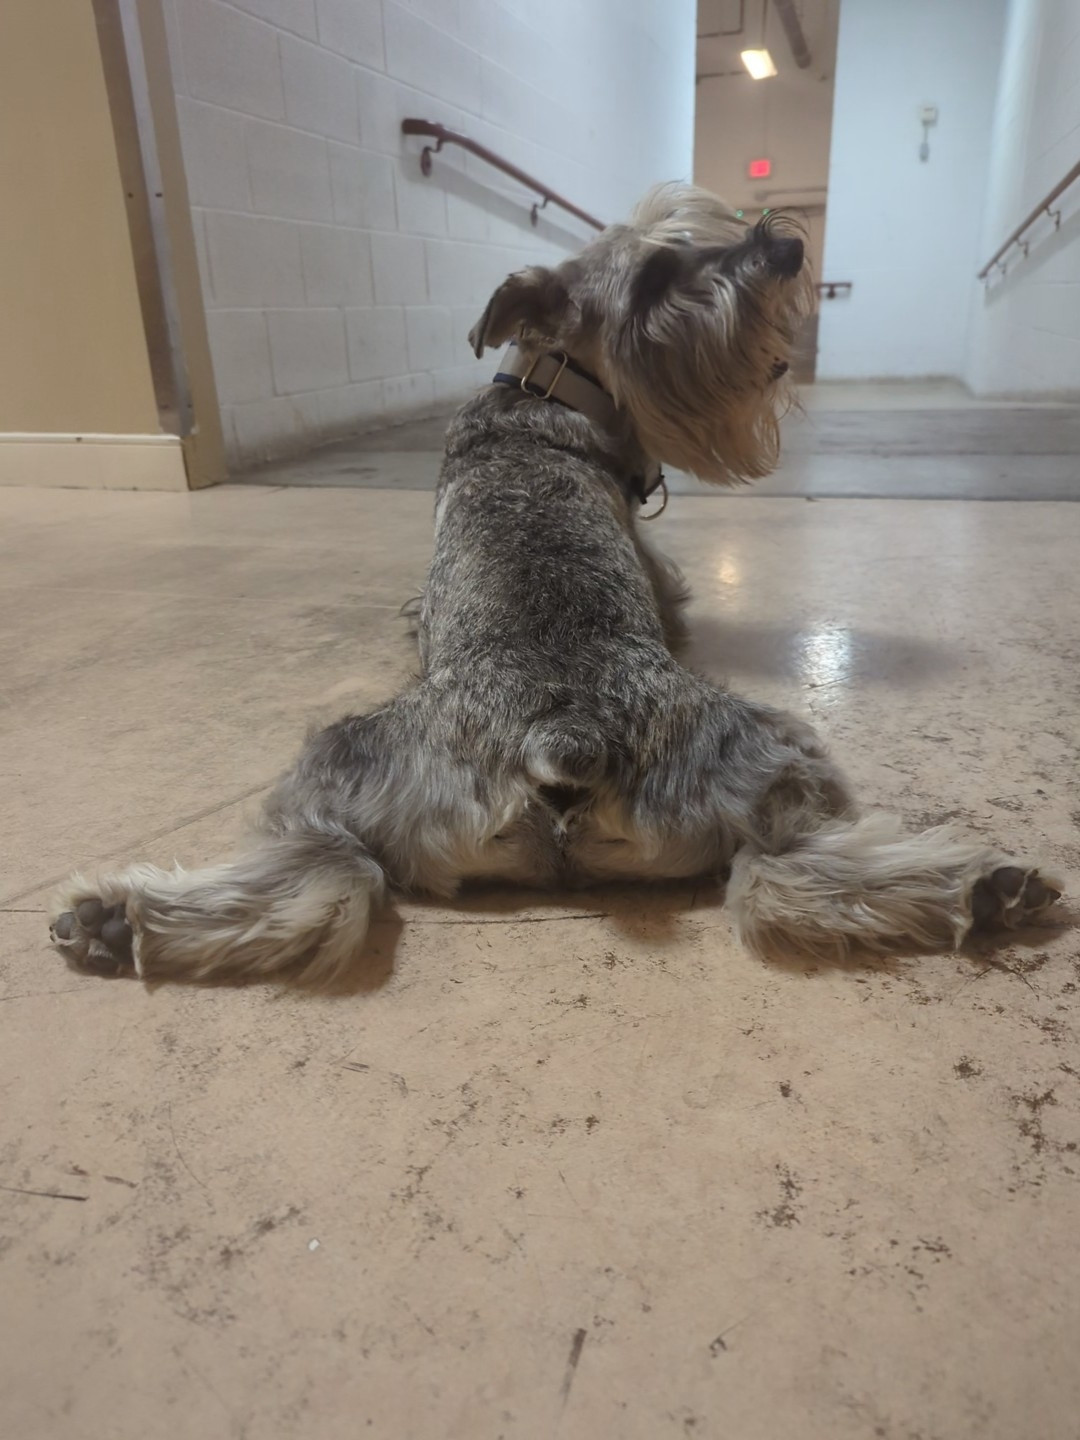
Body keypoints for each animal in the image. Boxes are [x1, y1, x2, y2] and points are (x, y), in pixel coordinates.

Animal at [50, 185, 1065, 984]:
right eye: (657, 277)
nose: (782, 246)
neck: (548, 391)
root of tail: (562, 736)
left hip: (346, 776)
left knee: (331, 880)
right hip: (772, 759)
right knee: (776, 879)